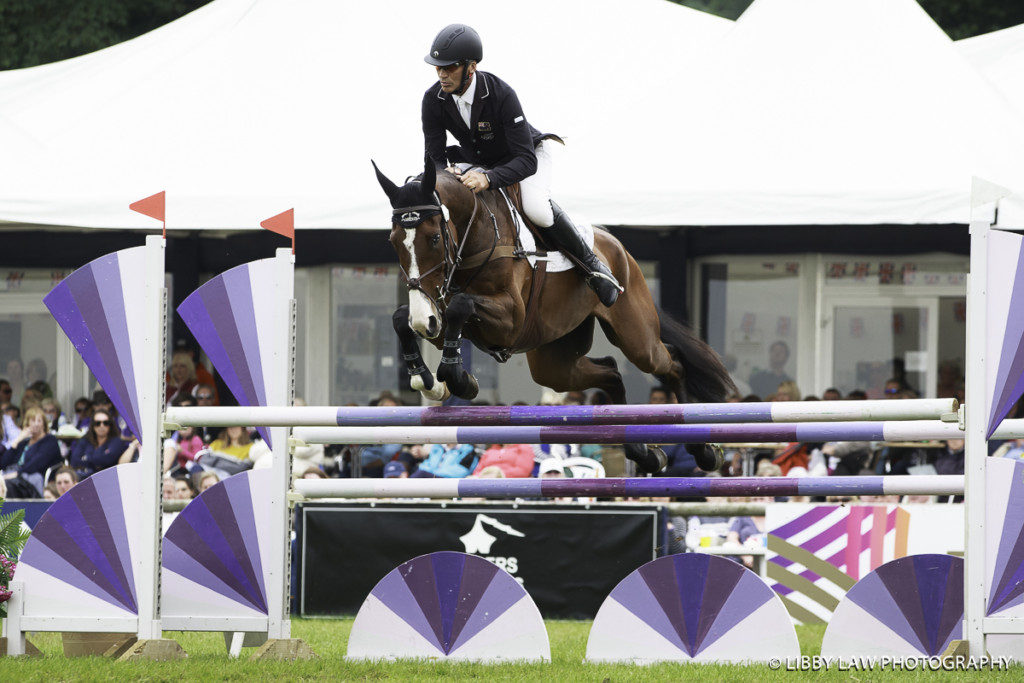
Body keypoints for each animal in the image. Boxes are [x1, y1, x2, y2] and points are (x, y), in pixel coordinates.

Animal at [372, 156, 733, 473]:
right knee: (611, 372)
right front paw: (427, 379)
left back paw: (702, 449)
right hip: (555, 362)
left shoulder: (509, 321)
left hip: (636, 337)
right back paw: (643, 453)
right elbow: (402, 317)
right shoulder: (439, 309)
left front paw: (457, 378)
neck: (475, 235)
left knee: (671, 363)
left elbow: (461, 305)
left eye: (434, 238)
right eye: (393, 241)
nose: (425, 320)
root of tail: (618, 246)